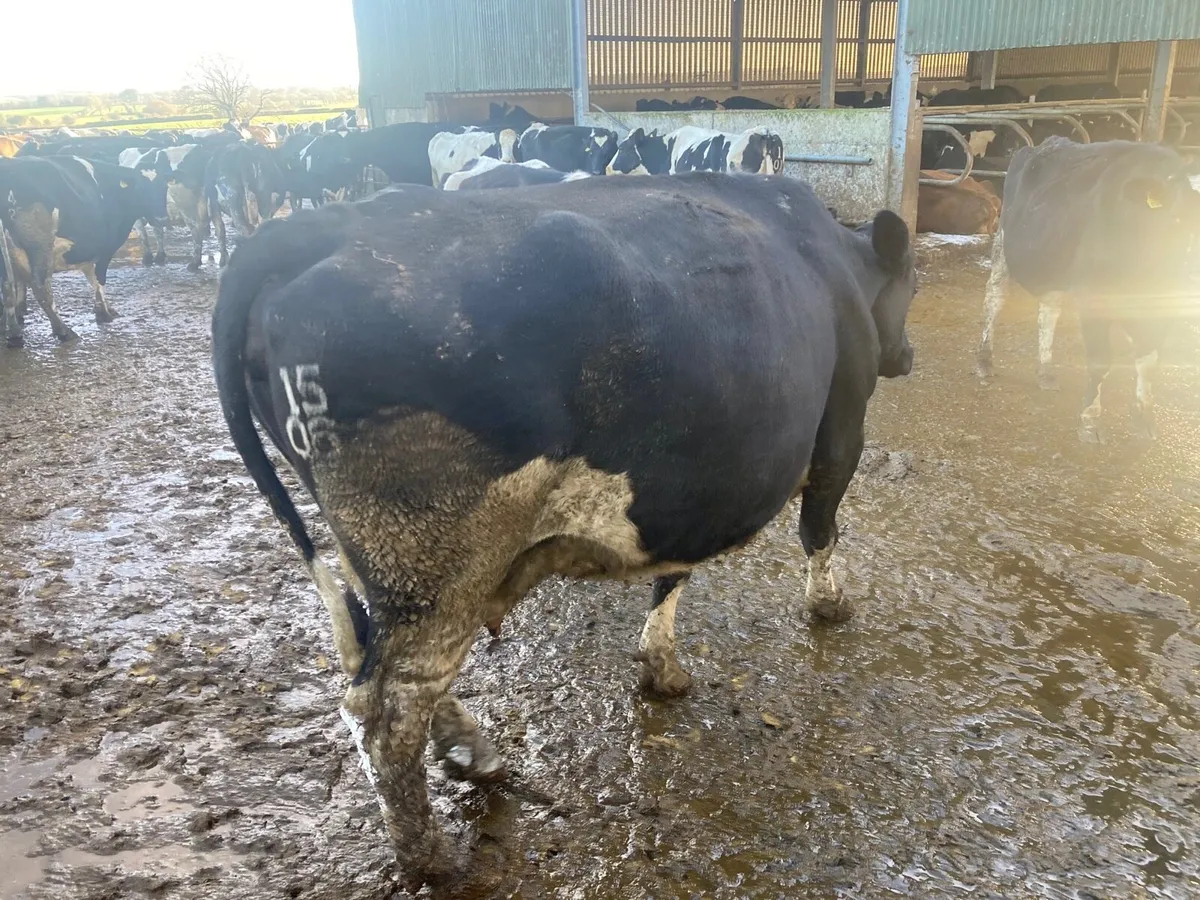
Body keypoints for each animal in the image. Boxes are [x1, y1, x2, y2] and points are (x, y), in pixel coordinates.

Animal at [0, 155, 168, 346]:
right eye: (141, 188)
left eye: (164, 187)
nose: (162, 219)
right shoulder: (105, 248)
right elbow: (99, 279)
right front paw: (103, 313)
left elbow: (91, 276)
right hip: (40, 248)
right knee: (40, 288)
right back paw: (63, 331)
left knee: (7, 288)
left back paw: (14, 333)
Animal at [210, 172, 917, 882]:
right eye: (909, 288)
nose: (907, 356)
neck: (836, 259)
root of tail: (305, 230)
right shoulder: (841, 431)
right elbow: (820, 530)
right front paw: (829, 605)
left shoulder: (694, 489)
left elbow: (672, 575)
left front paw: (661, 664)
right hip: (435, 562)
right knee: (387, 710)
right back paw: (431, 857)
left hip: (381, 566)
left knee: (381, 666)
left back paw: (471, 751)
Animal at [977, 138, 1200, 441]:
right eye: (1179, 218)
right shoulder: (1093, 297)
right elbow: (1100, 359)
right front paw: (1090, 420)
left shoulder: (1163, 309)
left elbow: (1149, 358)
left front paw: (1144, 417)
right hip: (1002, 243)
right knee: (994, 299)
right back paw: (984, 360)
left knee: (1048, 313)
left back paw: (1045, 371)